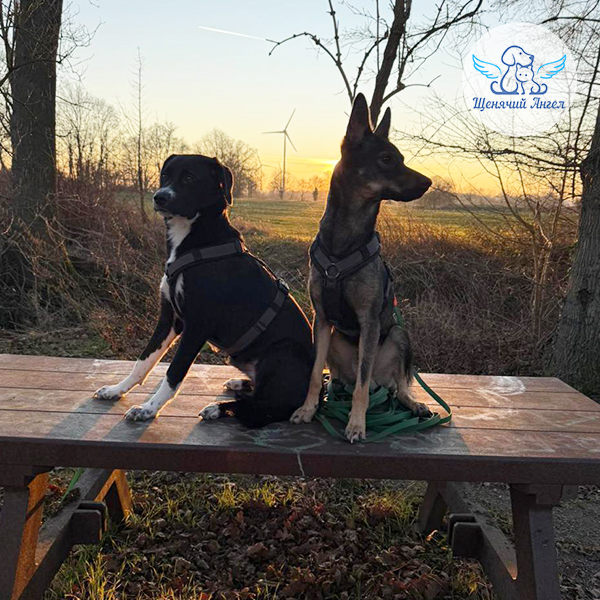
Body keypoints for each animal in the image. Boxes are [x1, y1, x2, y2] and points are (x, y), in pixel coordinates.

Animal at [94, 154, 313, 427]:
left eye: (189, 178)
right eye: (165, 175)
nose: (159, 197)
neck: (195, 241)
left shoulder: (196, 326)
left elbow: (174, 372)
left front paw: (149, 409)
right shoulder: (170, 319)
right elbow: (143, 361)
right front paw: (117, 389)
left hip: (282, 352)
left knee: (267, 409)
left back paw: (219, 408)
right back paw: (239, 383)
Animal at [289, 93, 432, 443]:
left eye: (401, 158)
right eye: (386, 159)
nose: (429, 182)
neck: (345, 238)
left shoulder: (369, 322)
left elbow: (363, 391)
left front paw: (356, 424)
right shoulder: (321, 320)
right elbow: (315, 375)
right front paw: (308, 409)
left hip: (398, 335)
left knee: (395, 385)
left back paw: (414, 404)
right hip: (336, 342)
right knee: (353, 382)